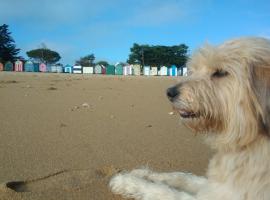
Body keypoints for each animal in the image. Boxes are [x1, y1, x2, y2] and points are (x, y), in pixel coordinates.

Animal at [109, 38, 270, 200]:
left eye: (221, 72)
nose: (169, 92)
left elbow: (161, 191)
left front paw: (126, 181)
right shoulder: (213, 185)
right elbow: (182, 176)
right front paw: (145, 174)